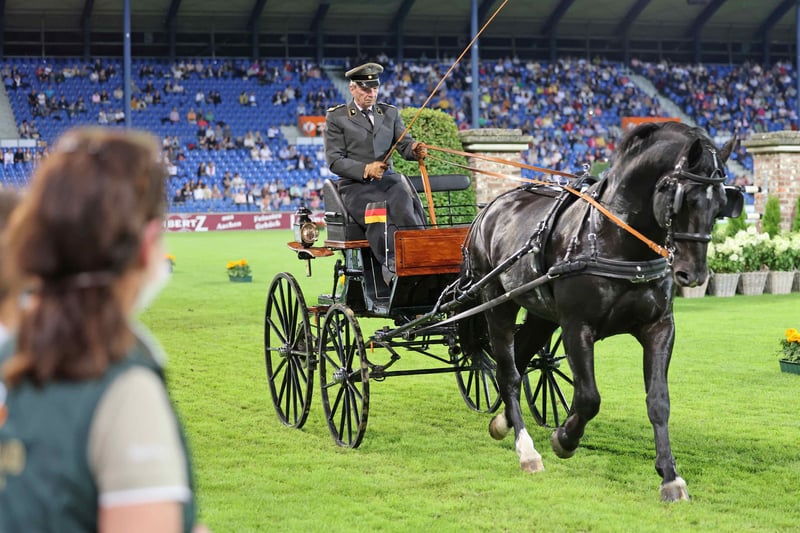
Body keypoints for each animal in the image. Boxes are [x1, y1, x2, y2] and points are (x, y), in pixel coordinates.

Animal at [460, 121, 743, 501]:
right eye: (685, 198)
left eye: (721, 203)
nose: (693, 274)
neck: (616, 240)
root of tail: (491, 207)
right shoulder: (576, 326)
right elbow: (588, 397)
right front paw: (564, 439)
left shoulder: (659, 328)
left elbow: (659, 401)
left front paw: (670, 477)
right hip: (498, 303)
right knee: (508, 373)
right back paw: (526, 450)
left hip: (540, 313)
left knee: (519, 359)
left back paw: (503, 422)